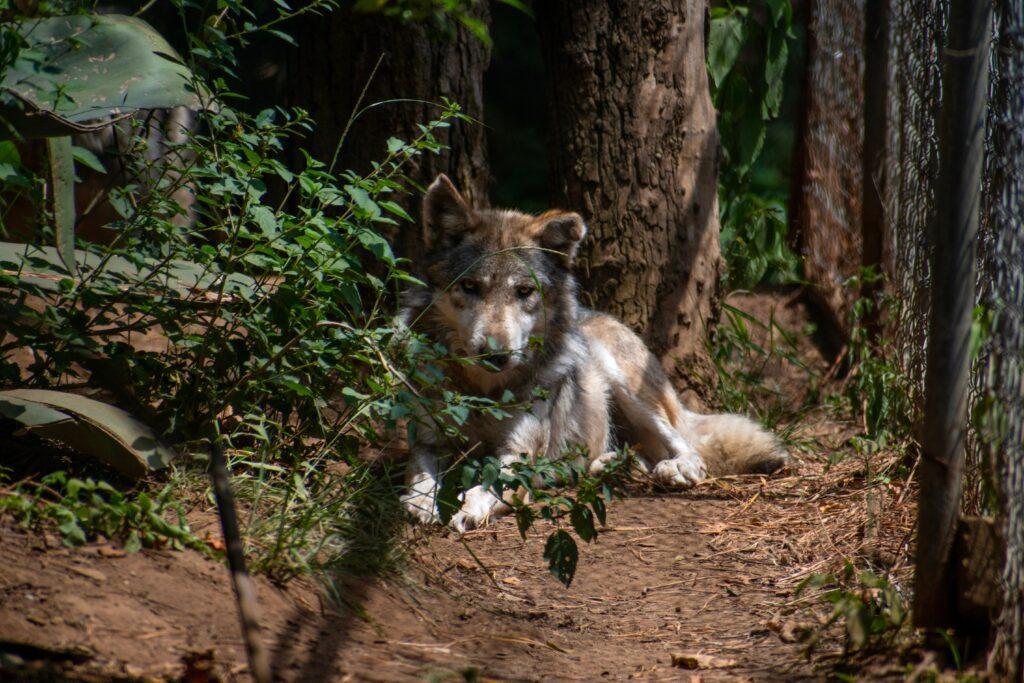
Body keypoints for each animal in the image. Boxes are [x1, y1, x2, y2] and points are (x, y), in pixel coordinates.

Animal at [400, 174, 788, 532]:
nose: (496, 356)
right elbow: (418, 475)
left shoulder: (517, 457)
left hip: (625, 385)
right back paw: (613, 466)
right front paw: (421, 504)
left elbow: (484, 487)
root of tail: (599, 315)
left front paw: (465, 509)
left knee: (688, 447)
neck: (482, 392)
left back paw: (676, 468)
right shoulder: (426, 441)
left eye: (524, 291)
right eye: (469, 286)